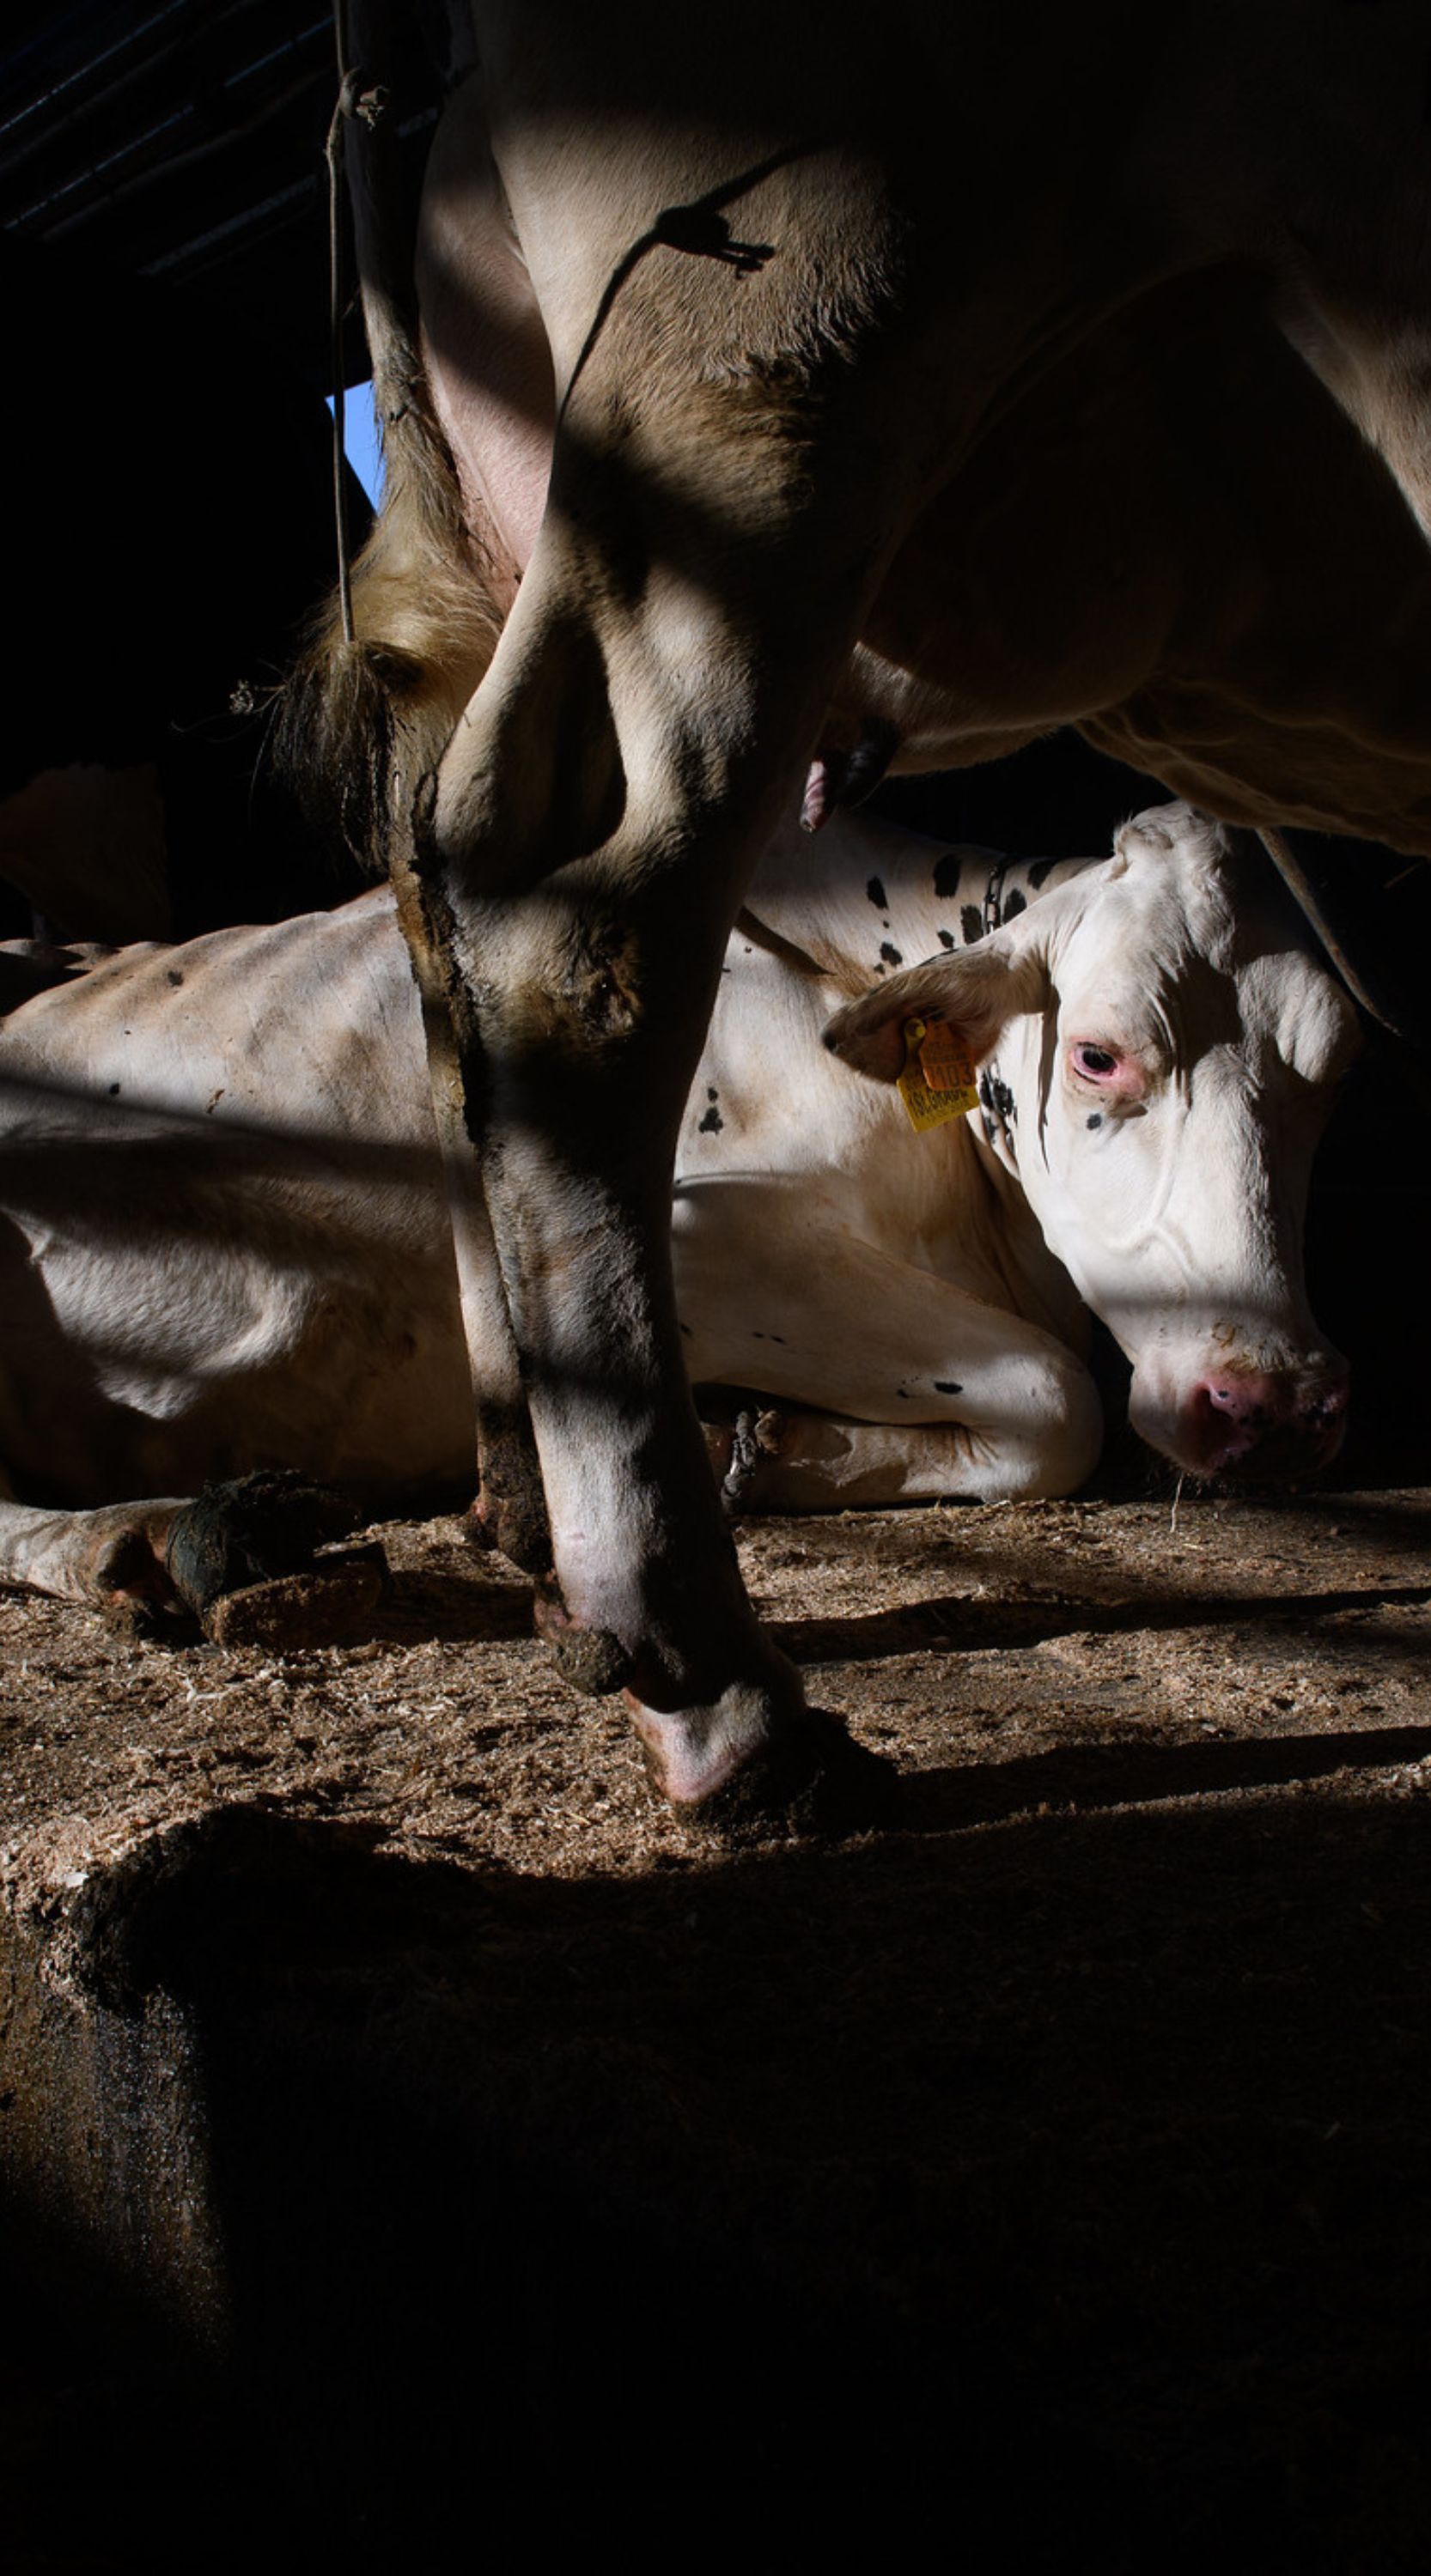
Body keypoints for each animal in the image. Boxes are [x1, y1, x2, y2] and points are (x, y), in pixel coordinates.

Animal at [289, 3, 1431, 1813]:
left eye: (1337, 1082)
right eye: (1097, 1056)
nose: (1282, 1409)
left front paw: (784, 1447)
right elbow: (1055, 1399)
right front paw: (772, 1448)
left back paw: (528, 1507)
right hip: (756, 404)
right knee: (574, 932)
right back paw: (708, 1679)